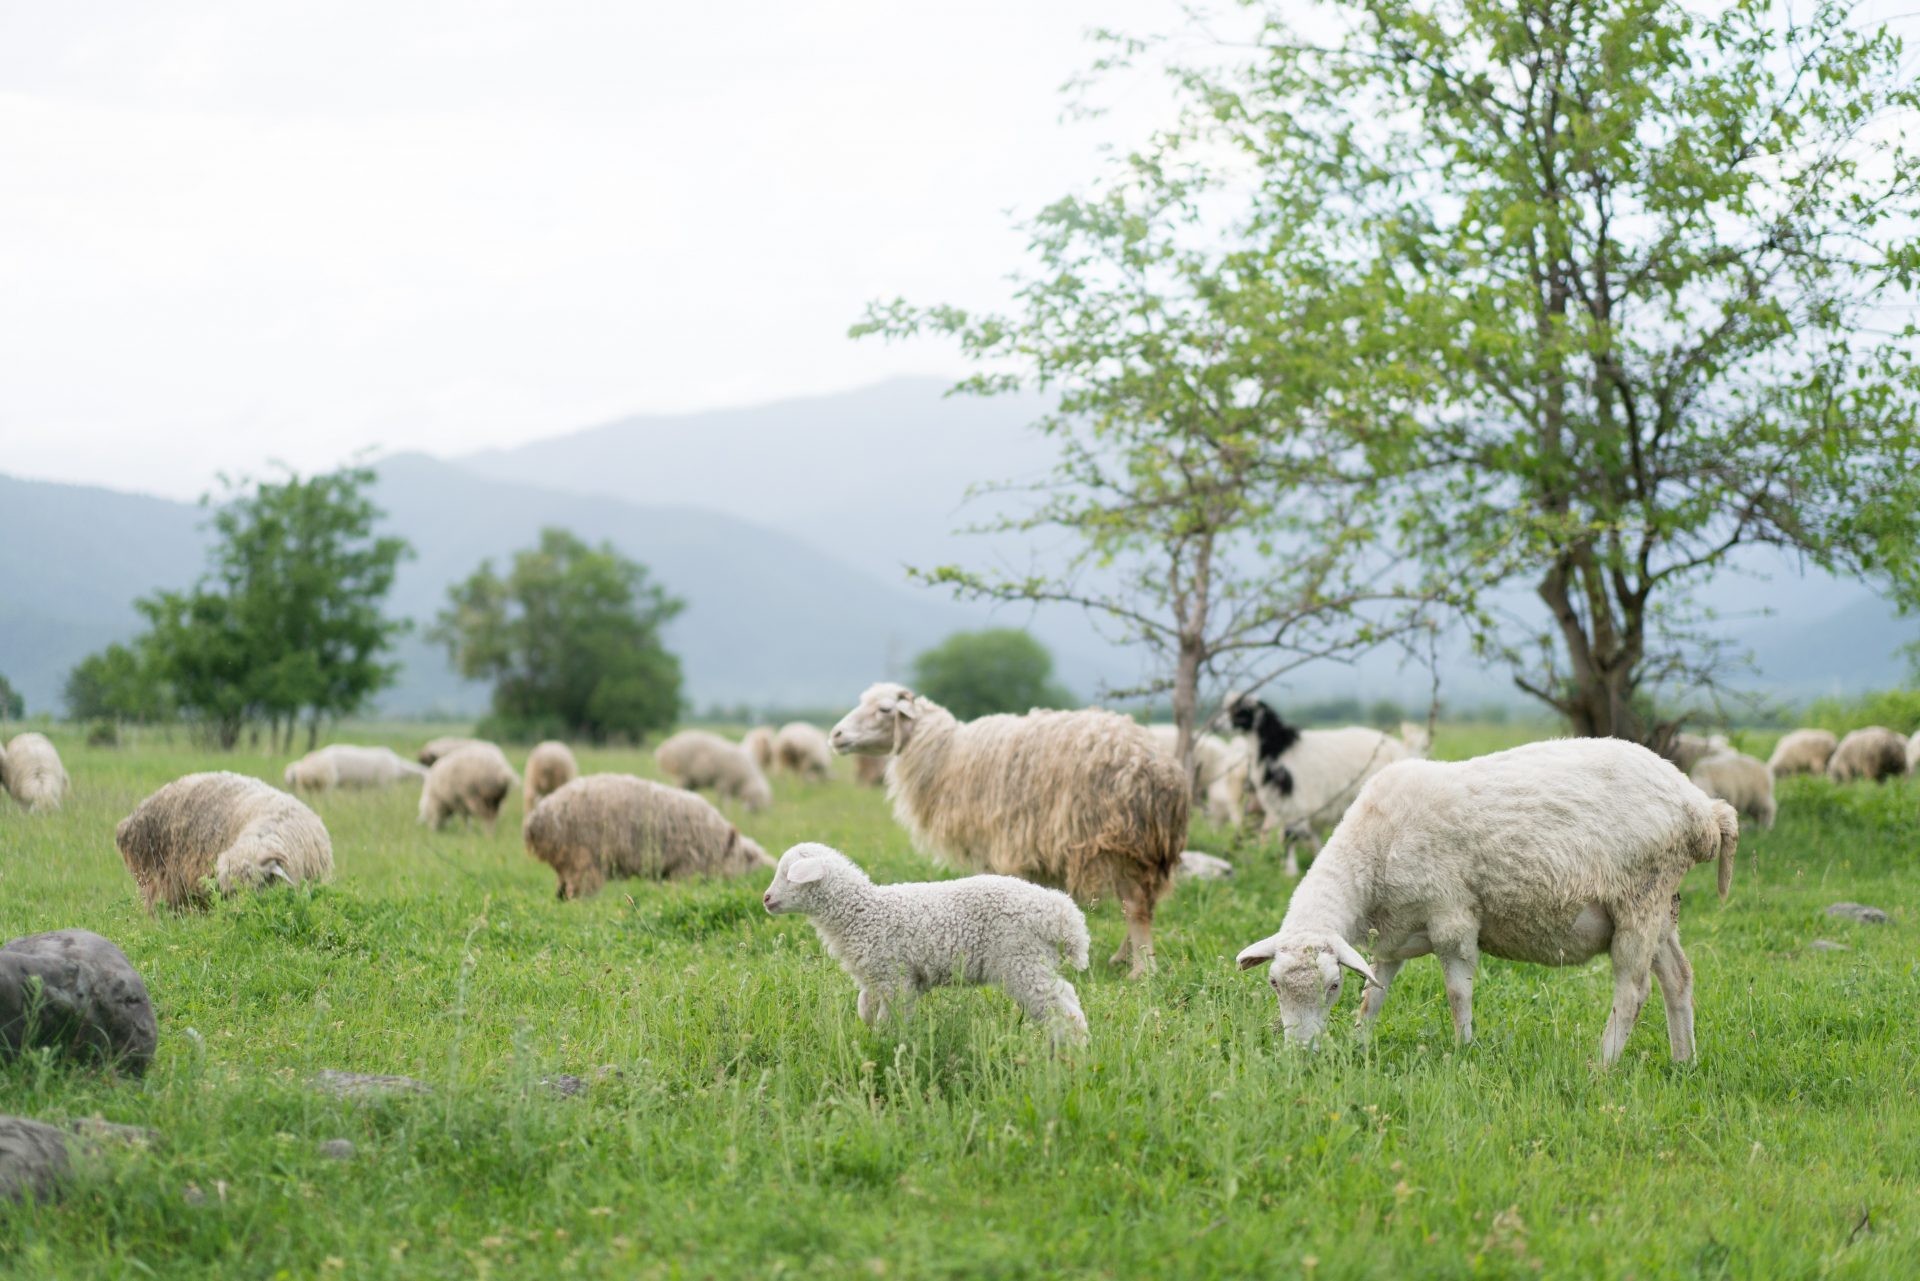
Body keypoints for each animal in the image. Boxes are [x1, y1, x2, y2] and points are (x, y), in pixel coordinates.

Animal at [523, 773, 771, 899]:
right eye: (749, 857)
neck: (717, 846)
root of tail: (535, 821)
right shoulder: (685, 870)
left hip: (567, 865)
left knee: (561, 893)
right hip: (582, 861)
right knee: (576, 894)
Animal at [761, 842, 1089, 1045]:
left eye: (788, 876)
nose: (765, 898)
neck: (861, 912)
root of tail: (1059, 912)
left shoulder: (896, 976)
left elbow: (891, 1017)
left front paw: (886, 1043)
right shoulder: (878, 977)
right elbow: (864, 1004)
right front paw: (870, 1027)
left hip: (1022, 960)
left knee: (1060, 1005)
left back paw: (1072, 1050)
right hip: (1035, 961)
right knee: (1066, 996)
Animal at [828, 682, 1188, 977]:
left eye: (884, 709)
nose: (836, 735)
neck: (946, 755)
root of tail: (1161, 770)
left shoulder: (1006, 842)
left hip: (1122, 839)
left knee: (1136, 905)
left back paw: (1142, 969)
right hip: (1148, 848)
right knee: (1147, 901)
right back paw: (1123, 958)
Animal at [1222, 694, 1412, 876]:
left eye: (1241, 710)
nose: (1219, 725)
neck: (1278, 748)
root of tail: (1397, 748)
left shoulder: (1295, 805)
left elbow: (1290, 836)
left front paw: (1290, 871)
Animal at [1236, 737, 1738, 1065]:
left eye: (1331, 986)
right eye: (1274, 984)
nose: (1300, 1056)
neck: (1373, 848)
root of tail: (1702, 808)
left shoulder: (1452, 918)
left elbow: (1457, 993)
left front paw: (1463, 1050)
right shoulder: (1392, 936)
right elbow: (1373, 997)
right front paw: (1359, 1043)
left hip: (1639, 899)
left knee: (1633, 990)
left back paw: (1602, 1066)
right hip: (1662, 908)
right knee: (1678, 978)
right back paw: (1683, 1062)